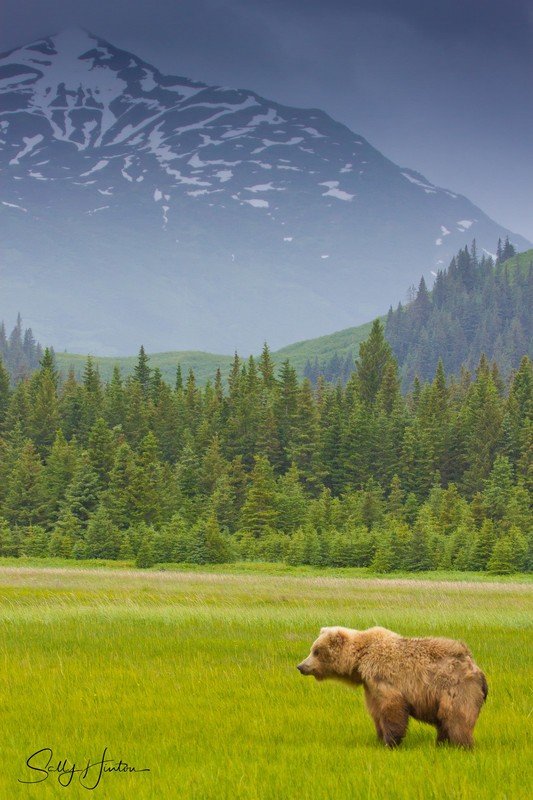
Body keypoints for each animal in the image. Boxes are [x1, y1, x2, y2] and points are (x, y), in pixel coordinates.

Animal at [297, 626, 488, 748]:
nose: (301, 666)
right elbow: (376, 711)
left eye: (316, 651)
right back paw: (442, 743)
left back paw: (461, 745)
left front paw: (391, 742)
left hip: (455, 688)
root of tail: (475, 667)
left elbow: (391, 708)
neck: (360, 660)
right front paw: (380, 737)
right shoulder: (370, 686)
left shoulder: (383, 677)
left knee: (456, 717)